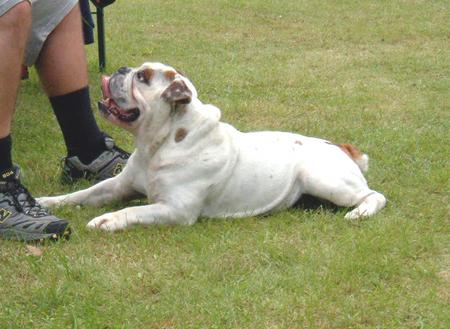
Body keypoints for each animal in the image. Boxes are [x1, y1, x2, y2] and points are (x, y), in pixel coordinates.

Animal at [37, 62, 386, 231]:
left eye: (144, 78)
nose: (122, 70)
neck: (158, 143)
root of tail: (341, 146)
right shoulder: (117, 186)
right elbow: (82, 194)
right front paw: (46, 202)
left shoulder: (174, 210)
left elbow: (134, 210)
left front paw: (107, 221)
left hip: (323, 179)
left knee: (374, 196)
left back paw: (359, 213)